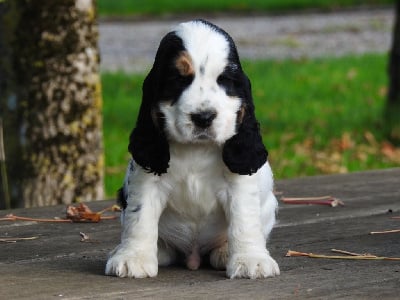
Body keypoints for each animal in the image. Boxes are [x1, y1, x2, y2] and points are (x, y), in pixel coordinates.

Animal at [106, 19, 282, 278]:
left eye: (224, 80)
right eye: (178, 79)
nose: (204, 117)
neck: (196, 149)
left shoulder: (238, 184)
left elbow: (244, 219)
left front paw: (251, 260)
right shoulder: (146, 181)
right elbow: (140, 217)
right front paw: (133, 258)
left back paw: (224, 252)